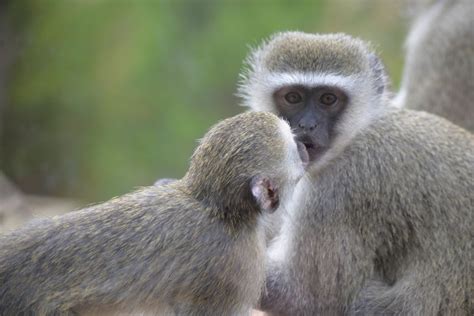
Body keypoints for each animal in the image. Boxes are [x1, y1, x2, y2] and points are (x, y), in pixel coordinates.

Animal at [241, 32, 474, 316]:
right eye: (293, 97)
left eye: (328, 99)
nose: (307, 125)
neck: (356, 133)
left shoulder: (340, 189)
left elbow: (305, 295)